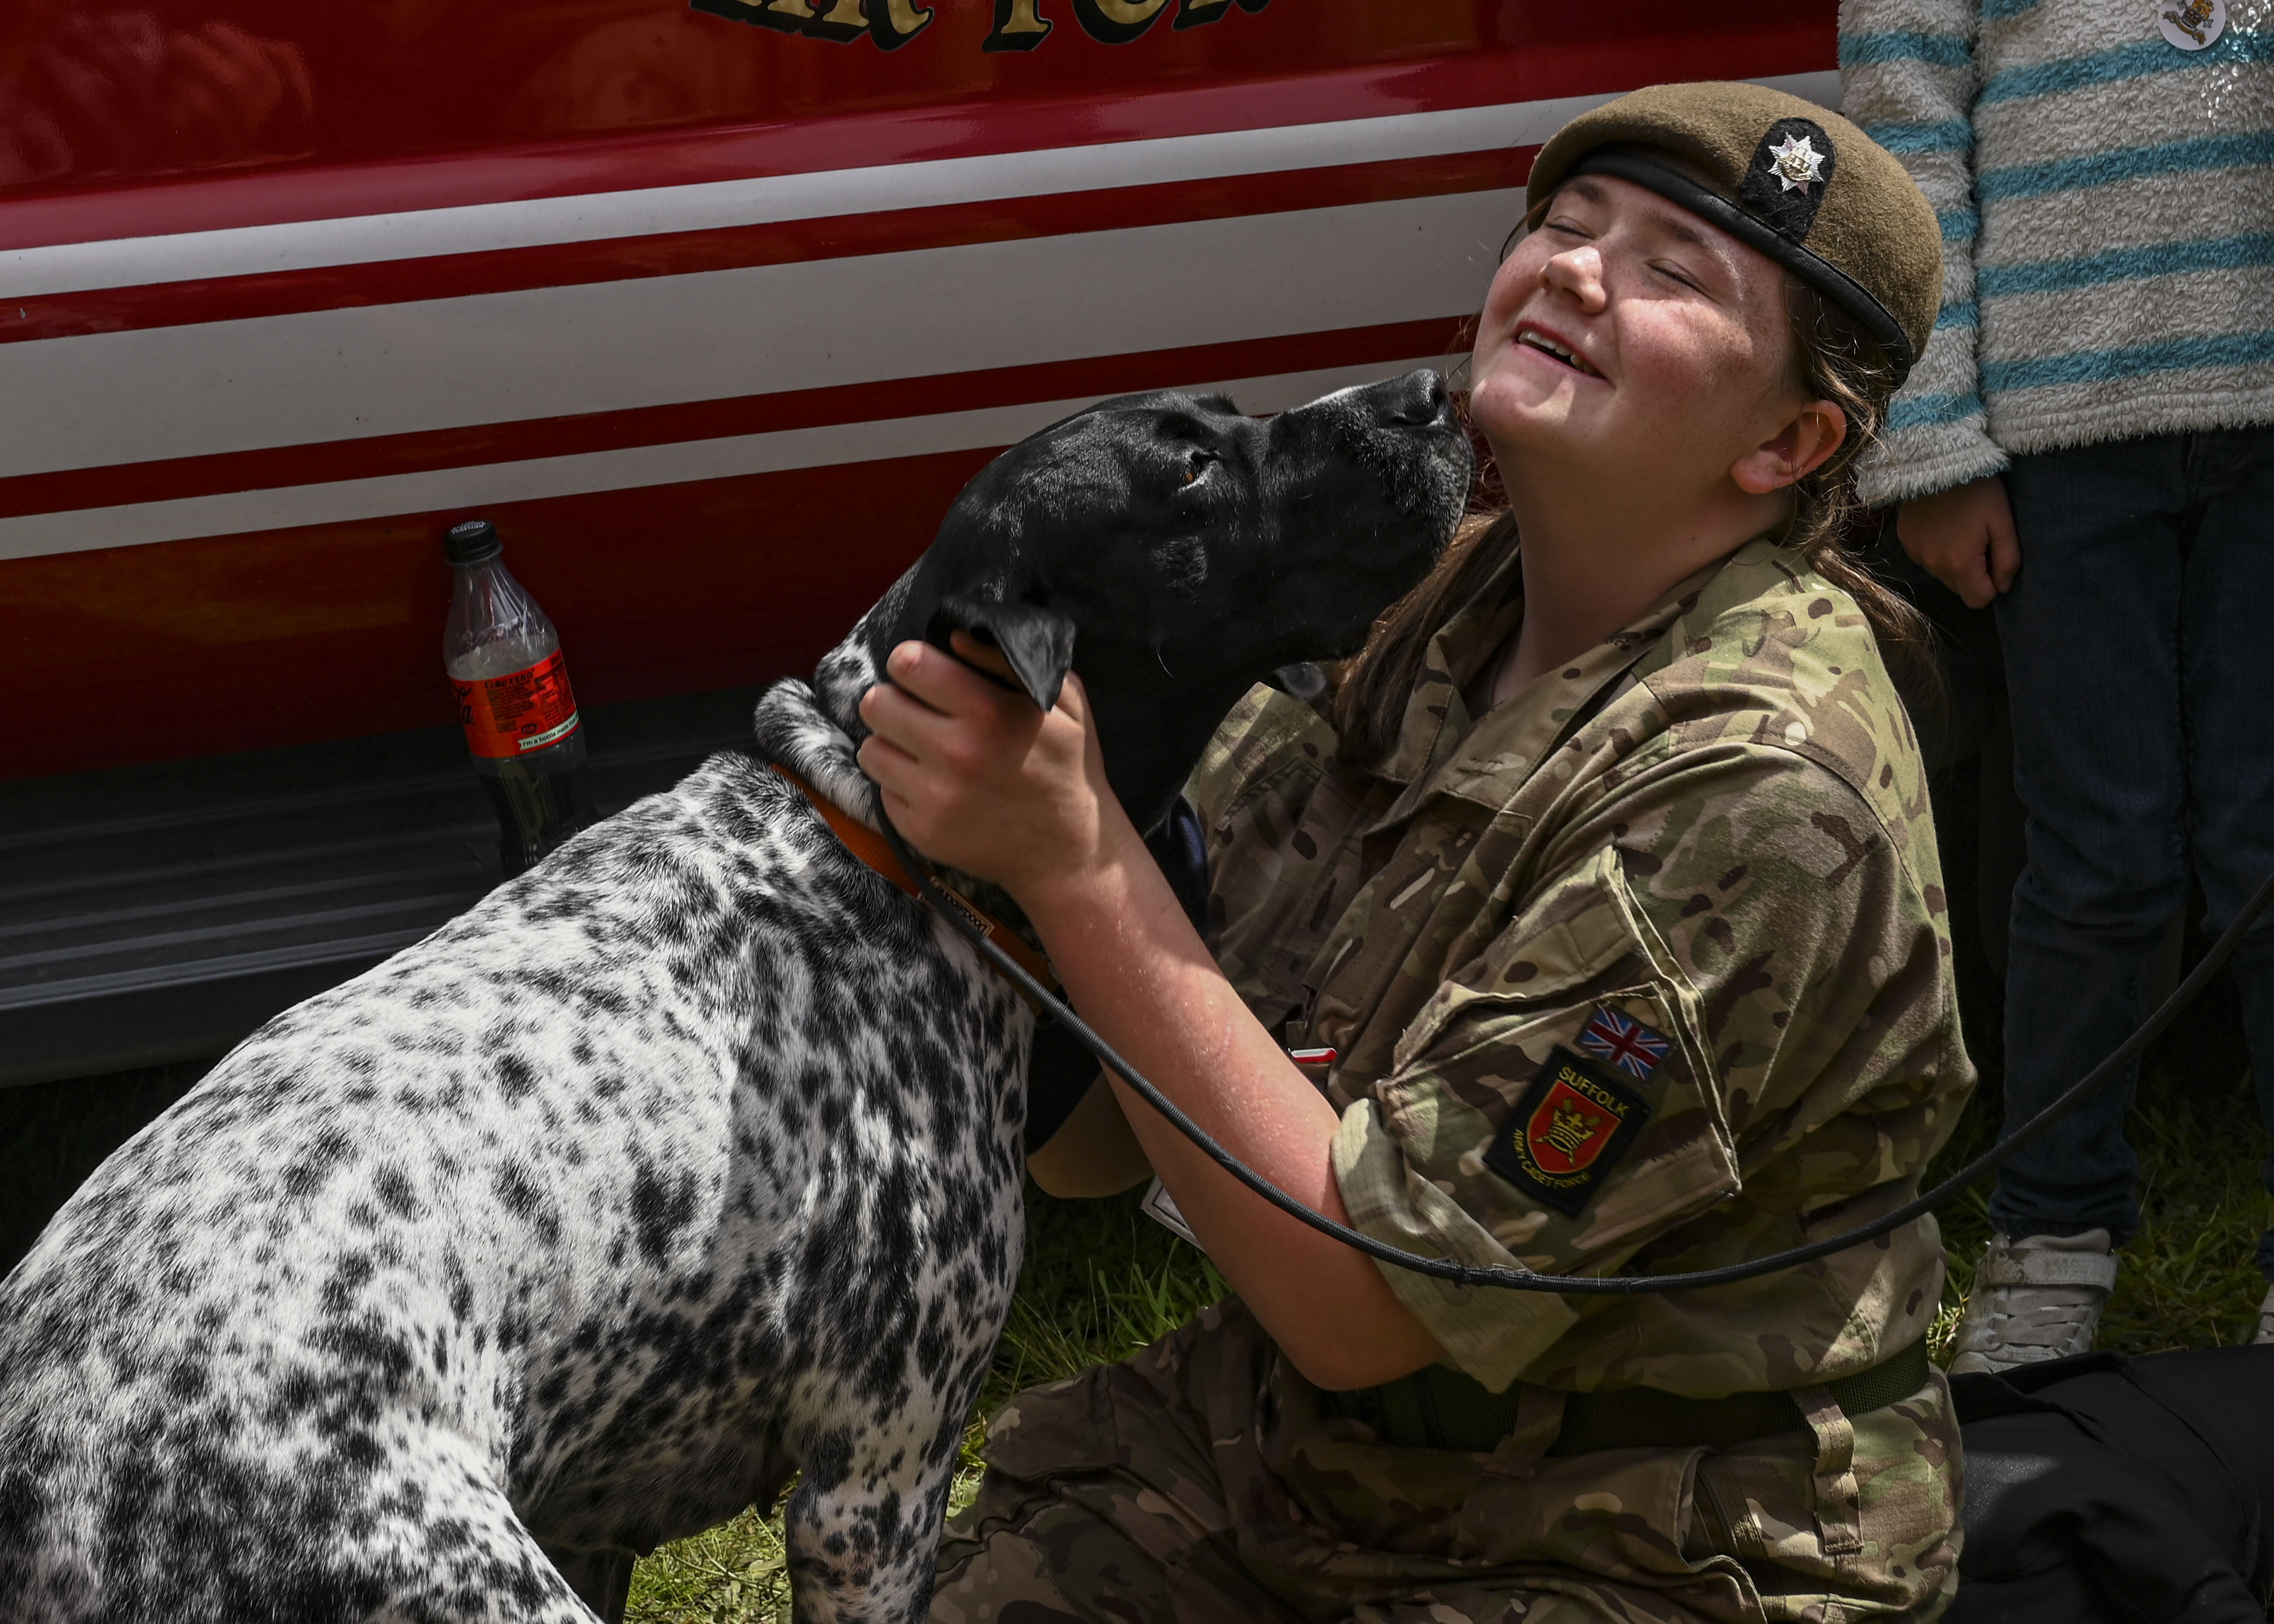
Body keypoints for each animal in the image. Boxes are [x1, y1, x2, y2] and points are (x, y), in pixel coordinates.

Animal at [0, 373, 1473, 1619]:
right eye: (1190, 467)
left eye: (1230, 420)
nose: (1431, 391)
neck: (879, 833)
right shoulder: (871, 1493)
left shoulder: (598, 1501)